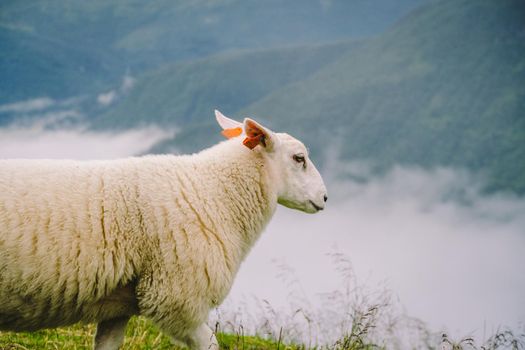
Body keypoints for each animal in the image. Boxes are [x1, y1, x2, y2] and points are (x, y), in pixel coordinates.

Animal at [0, 111, 328, 350]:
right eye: (299, 158)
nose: (325, 198)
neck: (213, 193)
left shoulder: (118, 305)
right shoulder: (177, 298)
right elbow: (210, 344)